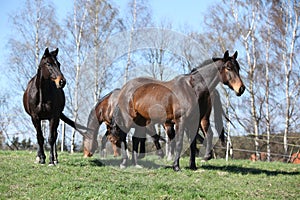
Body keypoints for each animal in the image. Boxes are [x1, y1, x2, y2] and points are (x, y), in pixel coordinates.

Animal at [111, 50, 245, 170]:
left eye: (238, 68)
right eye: (228, 68)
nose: (241, 88)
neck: (192, 89)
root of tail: (125, 88)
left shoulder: (193, 122)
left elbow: (192, 144)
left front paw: (192, 166)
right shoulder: (181, 121)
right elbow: (179, 142)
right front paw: (176, 166)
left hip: (141, 121)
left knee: (135, 139)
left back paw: (135, 164)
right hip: (129, 119)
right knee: (123, 137)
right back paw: (124, 163)